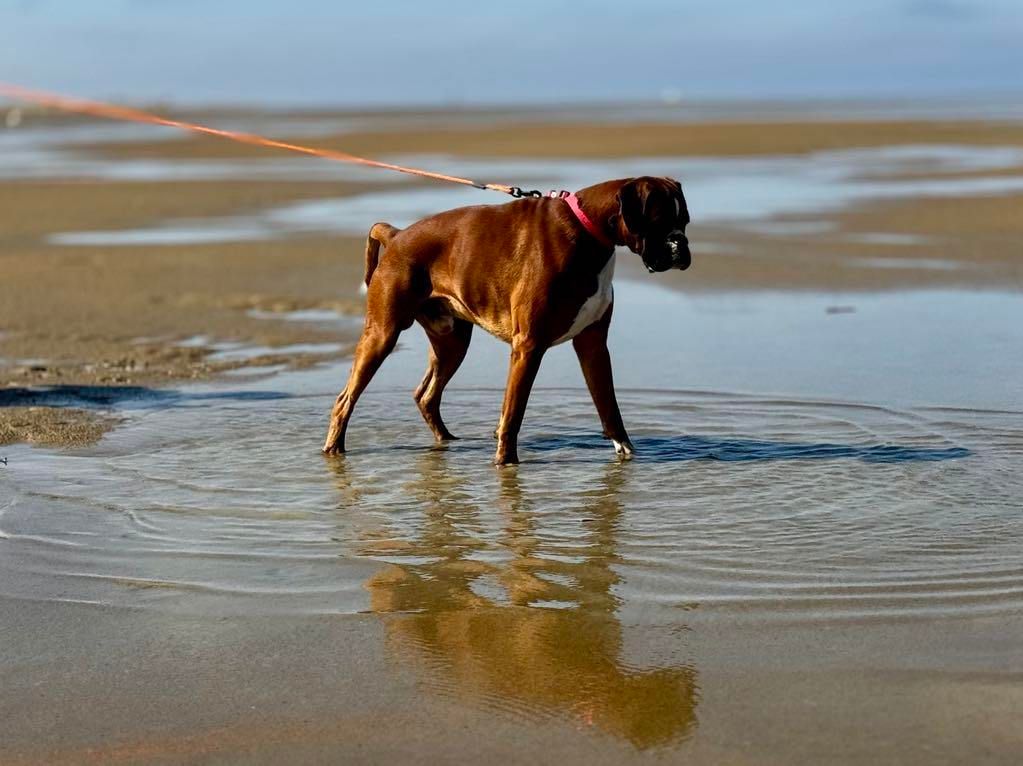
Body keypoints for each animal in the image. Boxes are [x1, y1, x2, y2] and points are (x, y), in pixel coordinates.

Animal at [323, 175, 691, 462]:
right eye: (660, 222)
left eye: (685, 222)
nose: (681, 244)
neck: (590, 232)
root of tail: (397, 234)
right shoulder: (529, 346)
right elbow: (513, 412)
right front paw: (505, 464)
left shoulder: (593, 346)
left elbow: (609, 405)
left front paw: (625, 451)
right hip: (382, 335)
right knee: (345, 399)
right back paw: (334, 449)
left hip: (452, 343)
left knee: (425, 395)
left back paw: (447, 442)